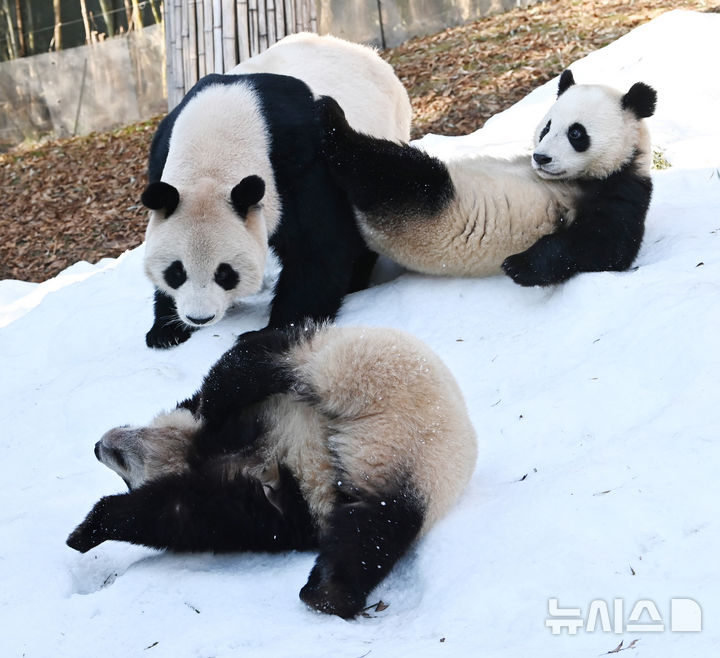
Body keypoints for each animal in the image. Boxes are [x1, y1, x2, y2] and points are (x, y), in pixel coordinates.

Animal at [64, 326, 476, 616]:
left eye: (123, 471)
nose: (98, 447)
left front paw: (89, 527)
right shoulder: (277, 503)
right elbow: (193, 511)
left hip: (365, 380)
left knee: (249, 370)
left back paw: (324, 596)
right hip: (386, 466)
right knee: (367, 533)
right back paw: (327, 592)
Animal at [141, 33, 410, 346]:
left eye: (225, 273)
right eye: (176, 271)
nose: (200, 318)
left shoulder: (298, 161)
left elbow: (319, 246)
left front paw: (269, 331)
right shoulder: (162, 155)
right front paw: (165, 329)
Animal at [318, 70, 656, 286]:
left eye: (576, 133)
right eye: (546, 127)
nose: (541, 158)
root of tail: (371, 233)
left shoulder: (623, 188)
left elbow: (603, 246)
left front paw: (520, 266)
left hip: (426, 209)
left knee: (393, 171)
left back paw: (334, 120)